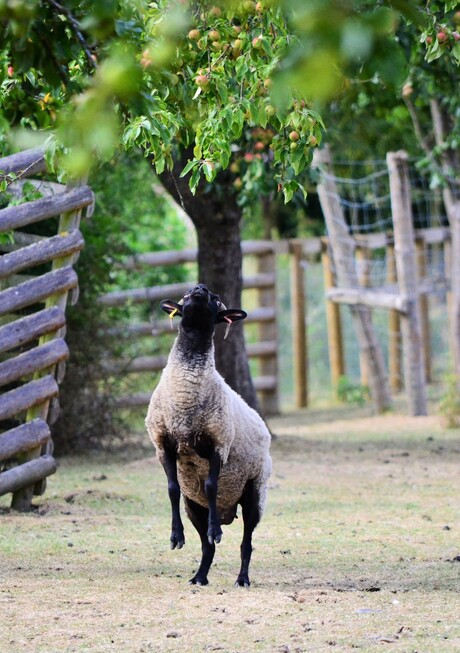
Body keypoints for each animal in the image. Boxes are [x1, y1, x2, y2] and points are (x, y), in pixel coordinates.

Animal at [146, 284, 272, 584]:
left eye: (215, 299)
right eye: (185, 296)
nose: (200, 289)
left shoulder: (219, 443)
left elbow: (212, 486)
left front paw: (217, 531)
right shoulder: (163, 444)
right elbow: (172, 489)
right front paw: (176, 537)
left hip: (254, 491)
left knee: (246, 542)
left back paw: (242, 578)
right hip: (194, 506)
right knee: (207, 546)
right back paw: (199, 577)